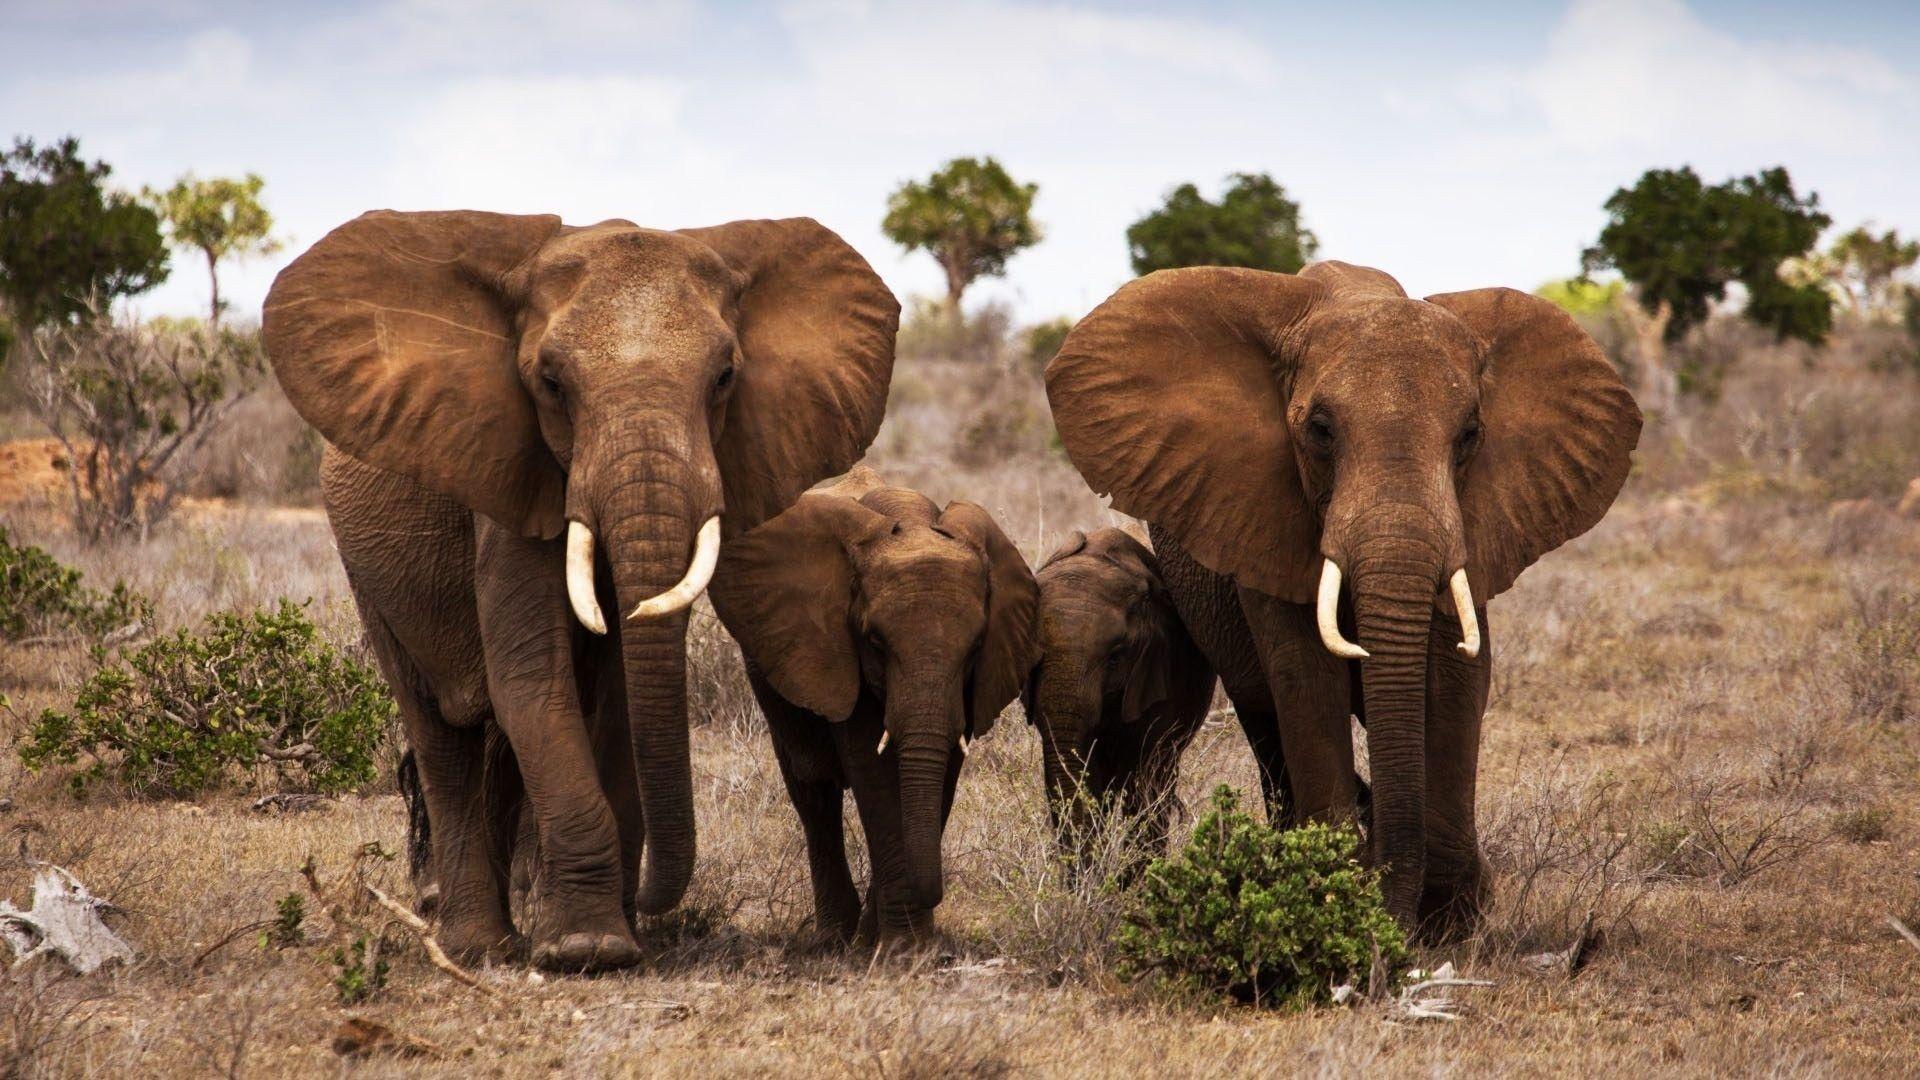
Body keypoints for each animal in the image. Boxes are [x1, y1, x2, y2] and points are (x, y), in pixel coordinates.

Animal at [263, 210, 898, 970]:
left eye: (724, 377)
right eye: (550, 382)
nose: (651, 896)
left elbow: (619, 691)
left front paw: (611, 938)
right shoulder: (510, 474)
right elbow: (531, 679)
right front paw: (586, 950)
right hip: (364, 567)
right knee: (440, 730)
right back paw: (476, 946)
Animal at [708, 468, 1038, 943]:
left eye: (976, 647)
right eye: (875, 642)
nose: (935, 893)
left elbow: (942, 770)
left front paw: (897, 941)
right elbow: (873, 773)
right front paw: (902, 948)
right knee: (813, 789)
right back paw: (833, 938)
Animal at [1044, 261, 1640, 937]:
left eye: (1470, 435)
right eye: (1320, 431)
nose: (1398, 924)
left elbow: (1459, 679)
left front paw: (1451, 919)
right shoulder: (1262, 516)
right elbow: (1305, 675)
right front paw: (1337, 893)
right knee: (1265, 720)